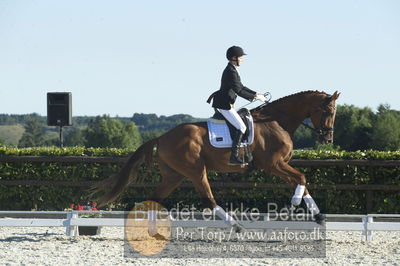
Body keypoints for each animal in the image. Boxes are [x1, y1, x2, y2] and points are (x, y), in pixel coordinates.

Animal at [93, 91, 340, 231]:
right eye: (328, 110)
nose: (327, 139)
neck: (277, 121)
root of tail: (162, 137)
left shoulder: (280, 166)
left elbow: (301, 181)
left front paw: (318, 215)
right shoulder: (273, 165)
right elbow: (302, 178)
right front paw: (292, 205)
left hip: (174, 175)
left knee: (154, 199)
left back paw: (154, 232)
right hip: (195, 170)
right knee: (209, 200)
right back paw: (236, 226)